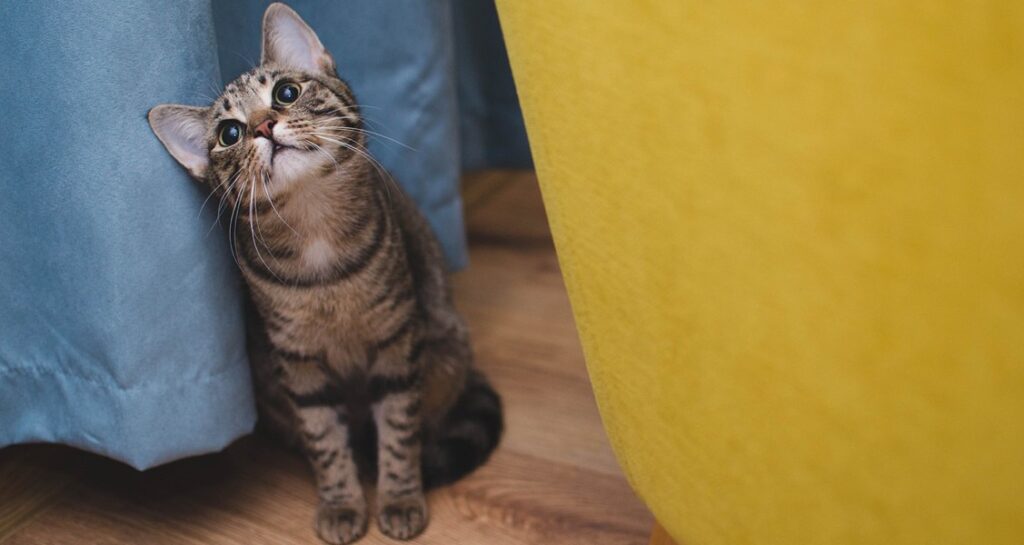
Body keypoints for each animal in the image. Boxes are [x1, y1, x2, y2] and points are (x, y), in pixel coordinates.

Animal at [147, 3, 503, 540]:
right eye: (229, 133)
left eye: (285, 93)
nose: (263, 126)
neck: (314, 230)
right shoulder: (299, 364)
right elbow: (325, 442)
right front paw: (341, 502)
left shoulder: (396, 343)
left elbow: (399, 430)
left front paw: (399, 495)